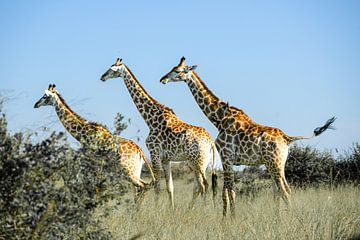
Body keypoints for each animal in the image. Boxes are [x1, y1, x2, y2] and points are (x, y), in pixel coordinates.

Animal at [99, 58, 217, 208]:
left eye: (112, 68)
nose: (102, 77)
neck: (150, 118)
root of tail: (211, 142)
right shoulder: (166, 159)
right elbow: (170, 187)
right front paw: (171, 209)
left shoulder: (154, 153)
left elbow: (157, 186)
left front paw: (156, 210)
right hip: (202, 162)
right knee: (199, 186)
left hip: (197, 160)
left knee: (203, 185)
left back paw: (203, 209)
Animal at [160, 56, 334, 218]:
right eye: (173, 68)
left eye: (177, 71)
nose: (163, 79)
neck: (219, 119)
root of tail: (287, 138)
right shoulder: (228, 160)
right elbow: (227, 192)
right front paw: (226, 218)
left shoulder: (226, 157)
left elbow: (230, 192)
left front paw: (231, 220)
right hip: (278, 164)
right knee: (282, 190)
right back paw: (279, 218)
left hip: (275, 164)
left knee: (284, 191)